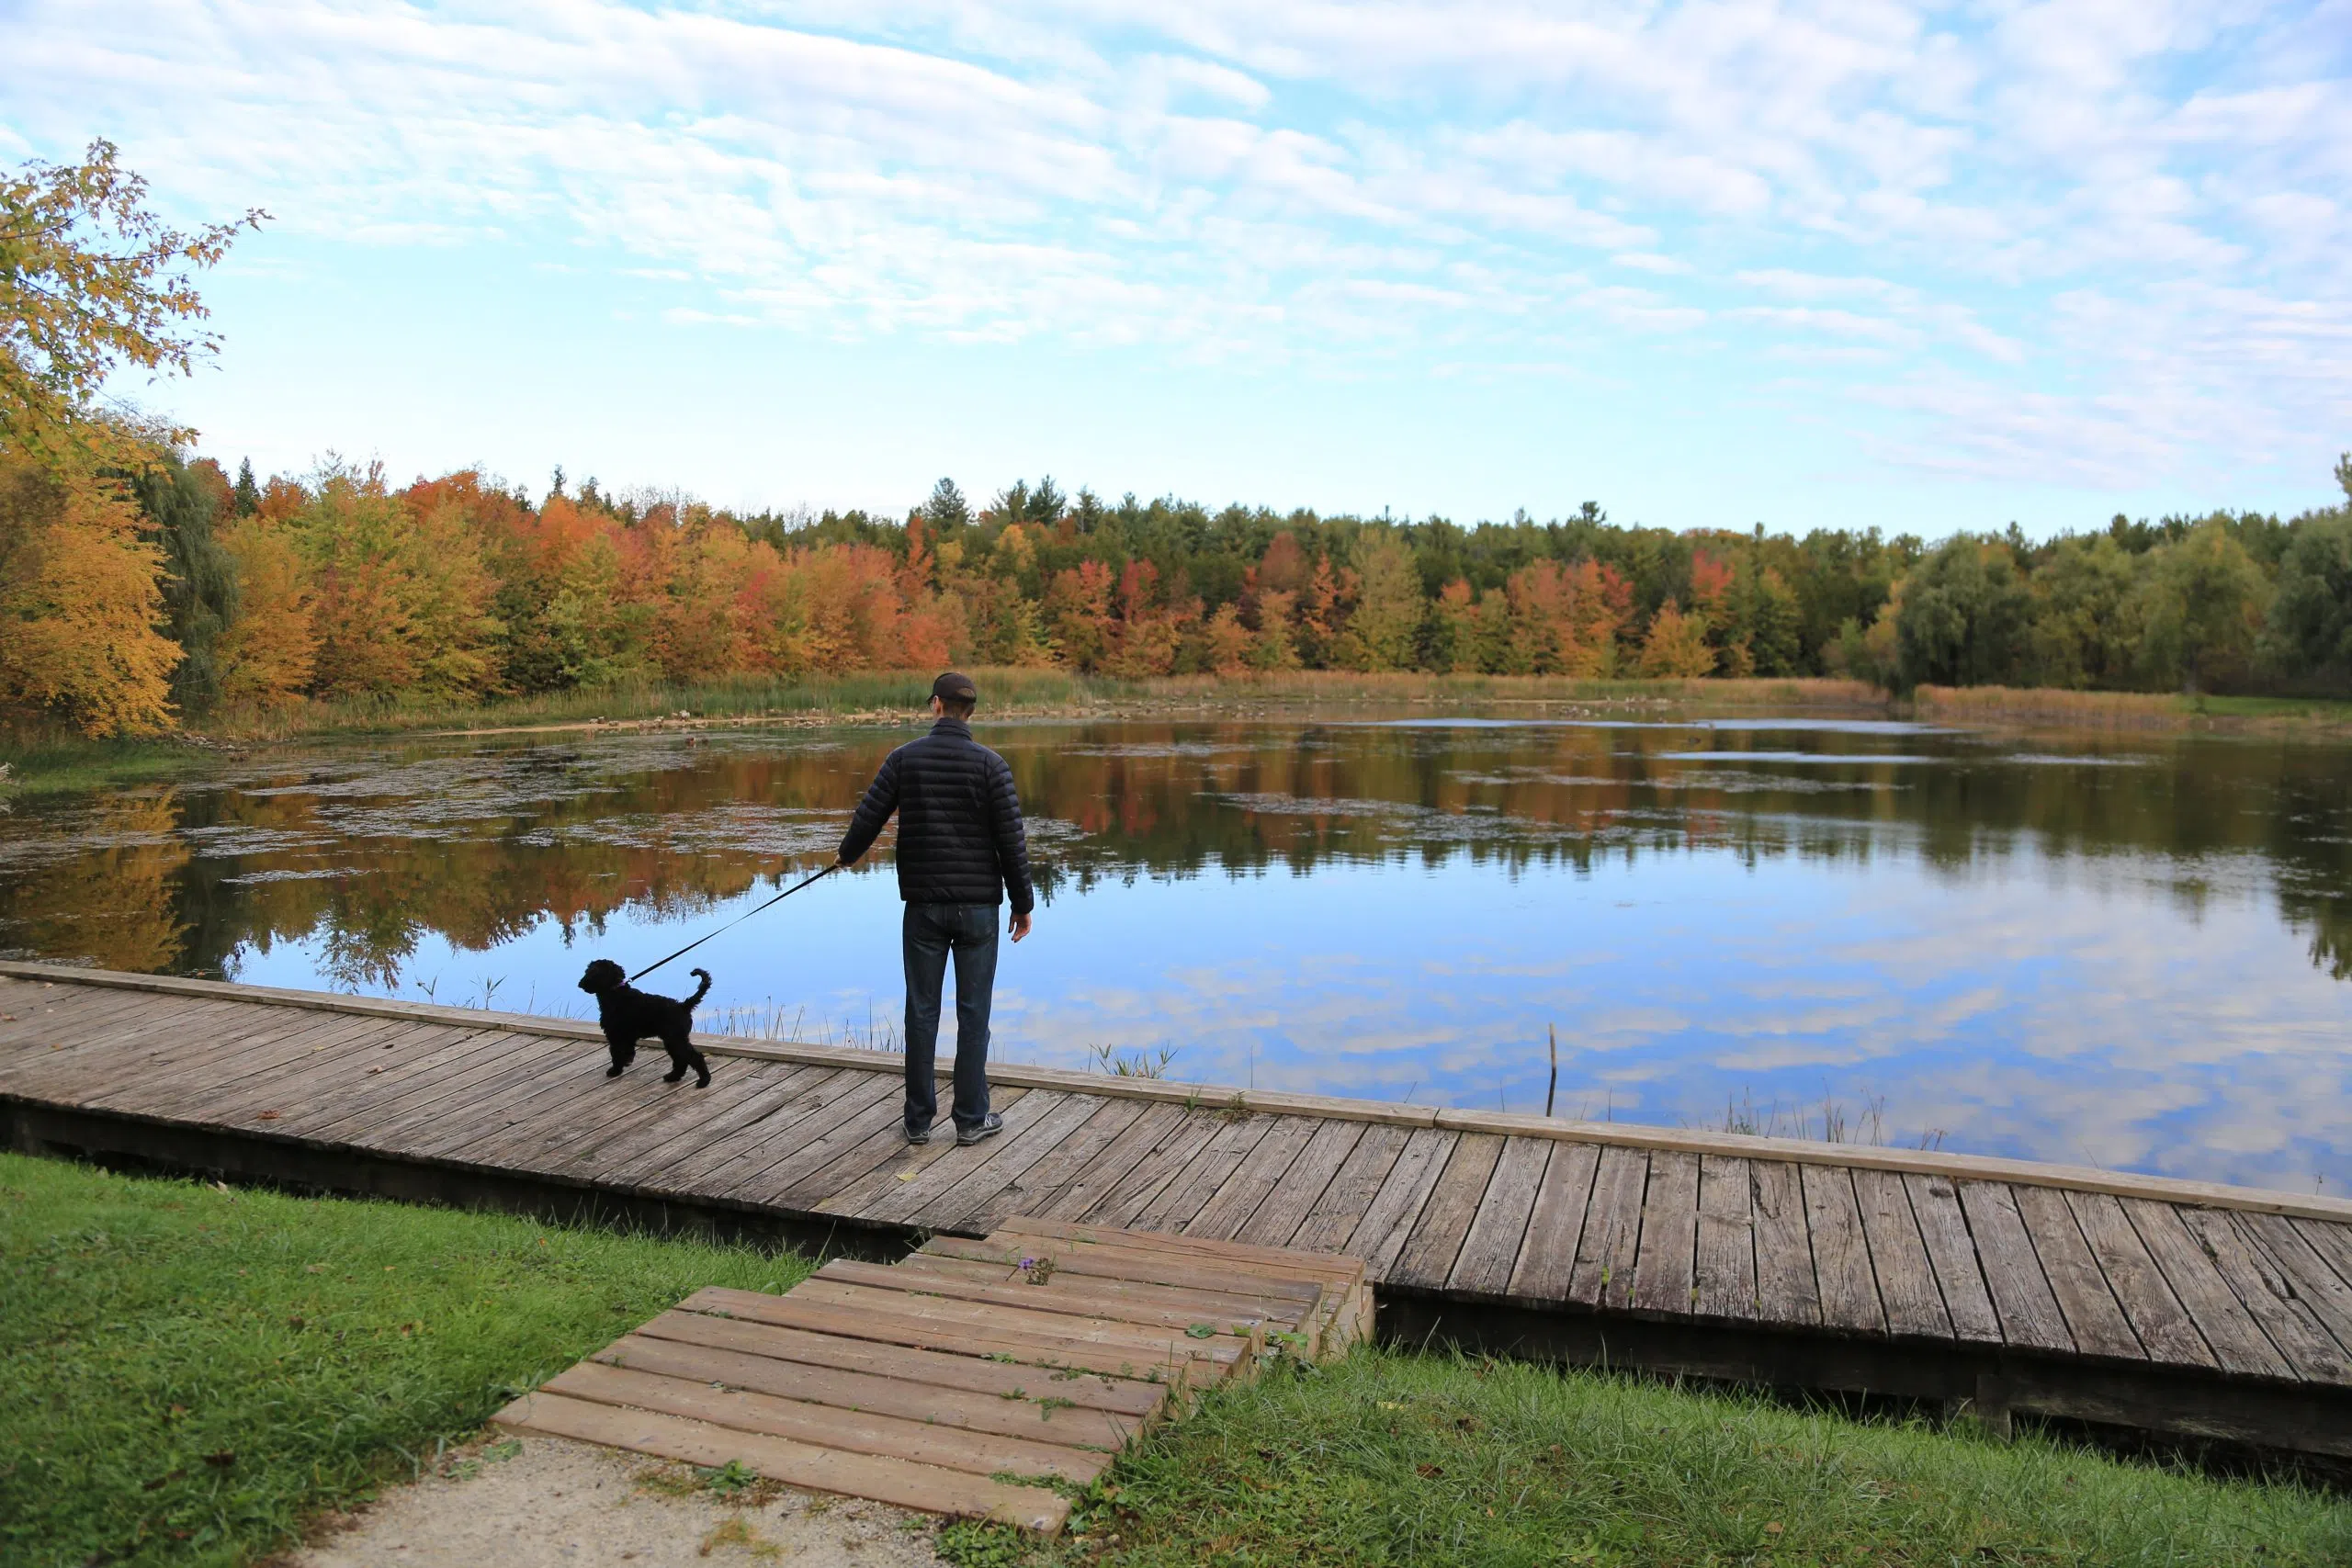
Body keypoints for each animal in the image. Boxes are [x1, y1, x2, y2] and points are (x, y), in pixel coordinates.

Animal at [576, 959, 710, 1090]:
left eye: (591, 971)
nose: (581, 984)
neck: (615, 991)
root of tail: (684, 1006)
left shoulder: (615, 1035)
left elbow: (616, 1053)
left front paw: (615, 1071)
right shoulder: (628, 1036)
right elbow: (628, 1050)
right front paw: (627, 1061)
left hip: (675, 1040)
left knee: (694, 1057)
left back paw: (703, 1081)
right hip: (674, 1041)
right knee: (681, 1060)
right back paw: (673, 1077)